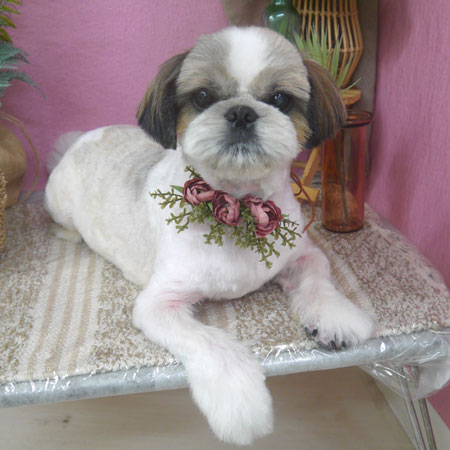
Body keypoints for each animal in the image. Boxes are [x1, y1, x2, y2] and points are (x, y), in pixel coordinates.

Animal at [45, 26, 375, 445]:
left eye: (280, 99)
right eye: (203, 96)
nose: (242, 112)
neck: (238, 205)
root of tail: (83, 138)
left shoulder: (304, 254)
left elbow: (318, 280)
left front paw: (336, 317)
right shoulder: (159, 303)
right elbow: (213, 346)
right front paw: (241, 404)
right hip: (60, 202)